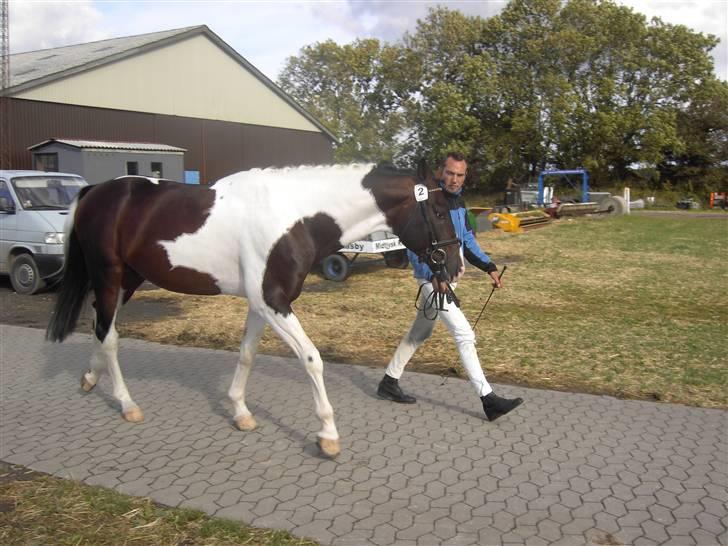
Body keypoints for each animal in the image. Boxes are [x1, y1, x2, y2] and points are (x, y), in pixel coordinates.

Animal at [45, 160, 460, 454]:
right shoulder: (274, 302)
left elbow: (246, 354)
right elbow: (312, 358)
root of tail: (95, 191)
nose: (454, 267)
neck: (294, 217)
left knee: (102, 326)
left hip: (128, 279)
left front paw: (241, 412)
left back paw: (90, 378)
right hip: (109, 275)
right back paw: (127, 403)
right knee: (109, 334)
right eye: (440, 212)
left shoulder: (262, 304)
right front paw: (328, 433)